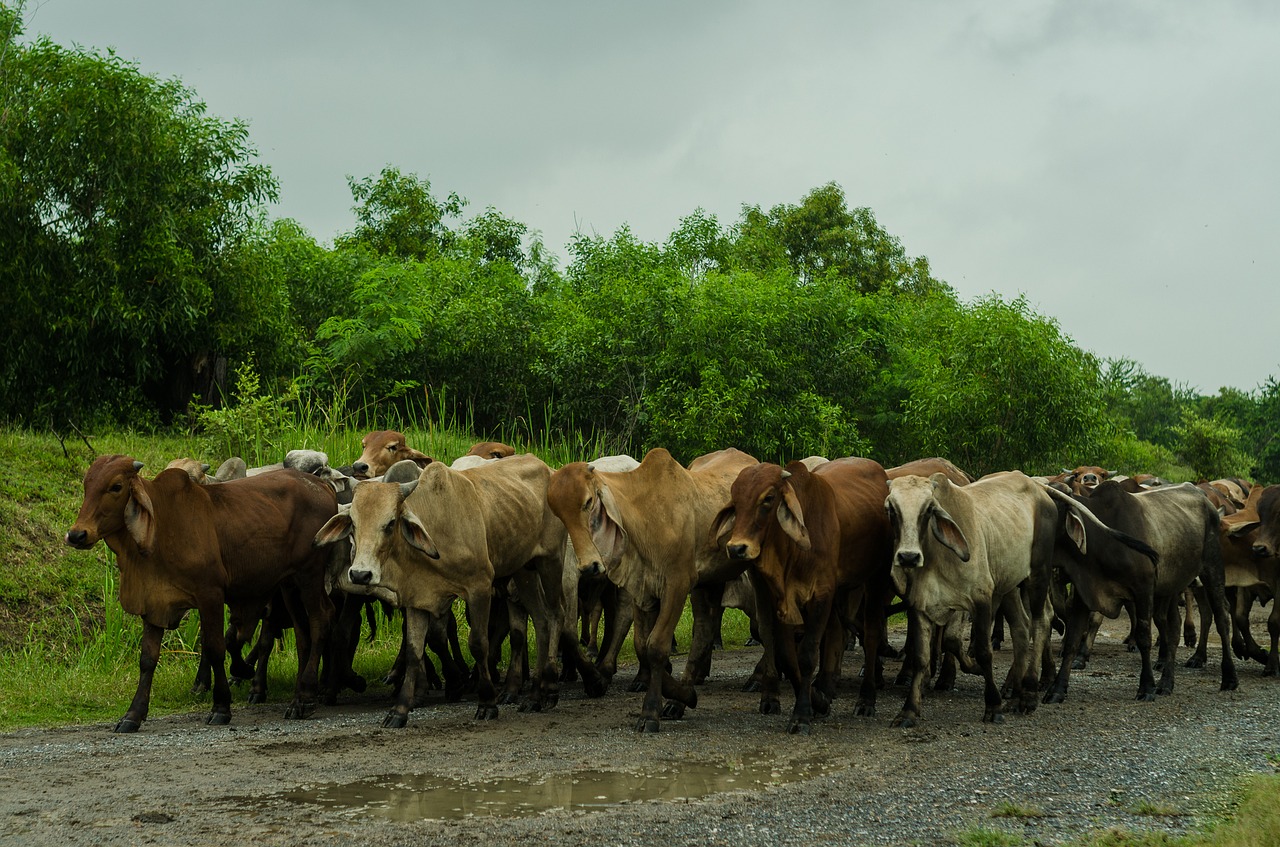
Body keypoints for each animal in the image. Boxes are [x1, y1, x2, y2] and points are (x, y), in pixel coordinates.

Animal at [65, 455, 337, 731]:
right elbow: (147, 659)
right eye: (87, 485)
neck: (163, 525)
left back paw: (305, 697)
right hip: (289, 585)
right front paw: (133, 715)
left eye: (116, 486)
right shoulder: (154, 602)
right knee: (303, 635)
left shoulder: (210, 596)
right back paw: (299, 697)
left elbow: (216, 647)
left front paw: (221, 706)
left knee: (321, 621)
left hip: (310, 575)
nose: (77, 534)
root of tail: (322, 485)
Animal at [312, 455, 596, 726]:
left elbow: (478, 644)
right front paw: (399, 710)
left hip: (550, 561)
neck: (437, 523)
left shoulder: (479, 587)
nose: (360, 574)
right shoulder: (417, 598)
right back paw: (534, 696)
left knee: (556, 615)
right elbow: (414, 652)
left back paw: (550, 690)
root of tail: (547, 469)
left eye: (390, 523)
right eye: (353, 524)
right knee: (541, 620)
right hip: (523, 570)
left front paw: (487, 703)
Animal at [545, 447, 752, 731]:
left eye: (588, 502)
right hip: (708, 583)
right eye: (558, 514)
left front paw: (650, 712)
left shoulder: (677, 584)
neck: (644, 514)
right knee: (703, 632)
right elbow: (643, 646)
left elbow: (656, 647)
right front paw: (683, 694)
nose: (589, 566)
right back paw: (679, 701)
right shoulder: (644, 590)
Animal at [711, 458, 890, 736]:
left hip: (875, 579)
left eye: (768, 498)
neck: (791, 553)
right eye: (735, 499)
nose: (737, 548)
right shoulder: (782, 600)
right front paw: (818, 702)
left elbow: (806, 655)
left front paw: (802, 715)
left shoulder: (821, 595)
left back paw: (866, 700)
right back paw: (826, 688)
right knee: (837, 632)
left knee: (871, 636)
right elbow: (787, 656)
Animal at [1039, 481, 1239, 706]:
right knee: (1172, 626)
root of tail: (1204, 497)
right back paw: (1166, 683)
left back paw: (1229, 677)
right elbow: (1072, 639)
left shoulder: (1143, 589)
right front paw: (1057, 689)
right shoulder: (1085, 593)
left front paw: (1147, 687)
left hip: (1212, 569)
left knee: (1221, 617)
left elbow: (1144, 638)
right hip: (1171, 586)